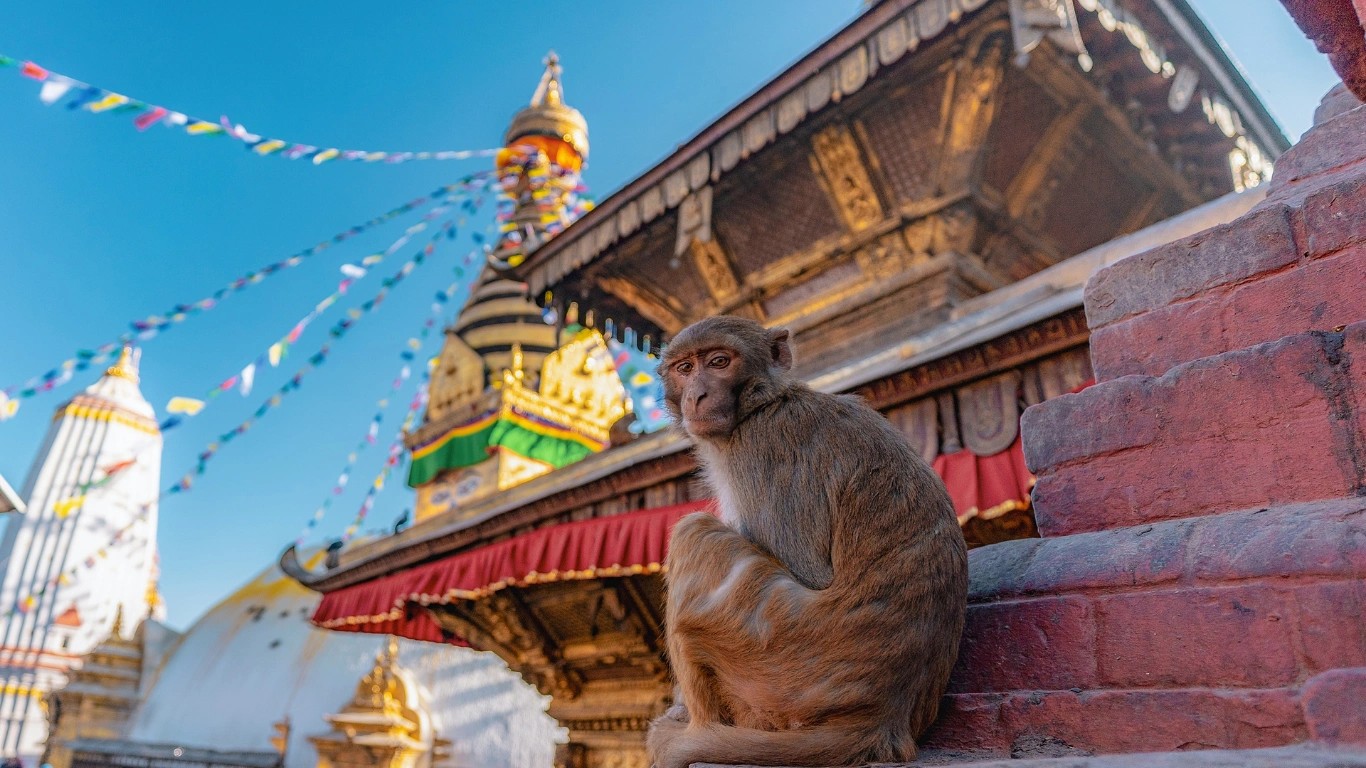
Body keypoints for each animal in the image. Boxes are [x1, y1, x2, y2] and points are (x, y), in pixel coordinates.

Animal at [646, 315, 967, 768]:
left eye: (719, 361)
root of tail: (881, 719)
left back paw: (699, 731)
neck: (763, 403)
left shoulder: (762, 447)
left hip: (775, 671)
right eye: (685, 368)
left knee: (695, 534)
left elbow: (809, 570)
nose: (697, 395)